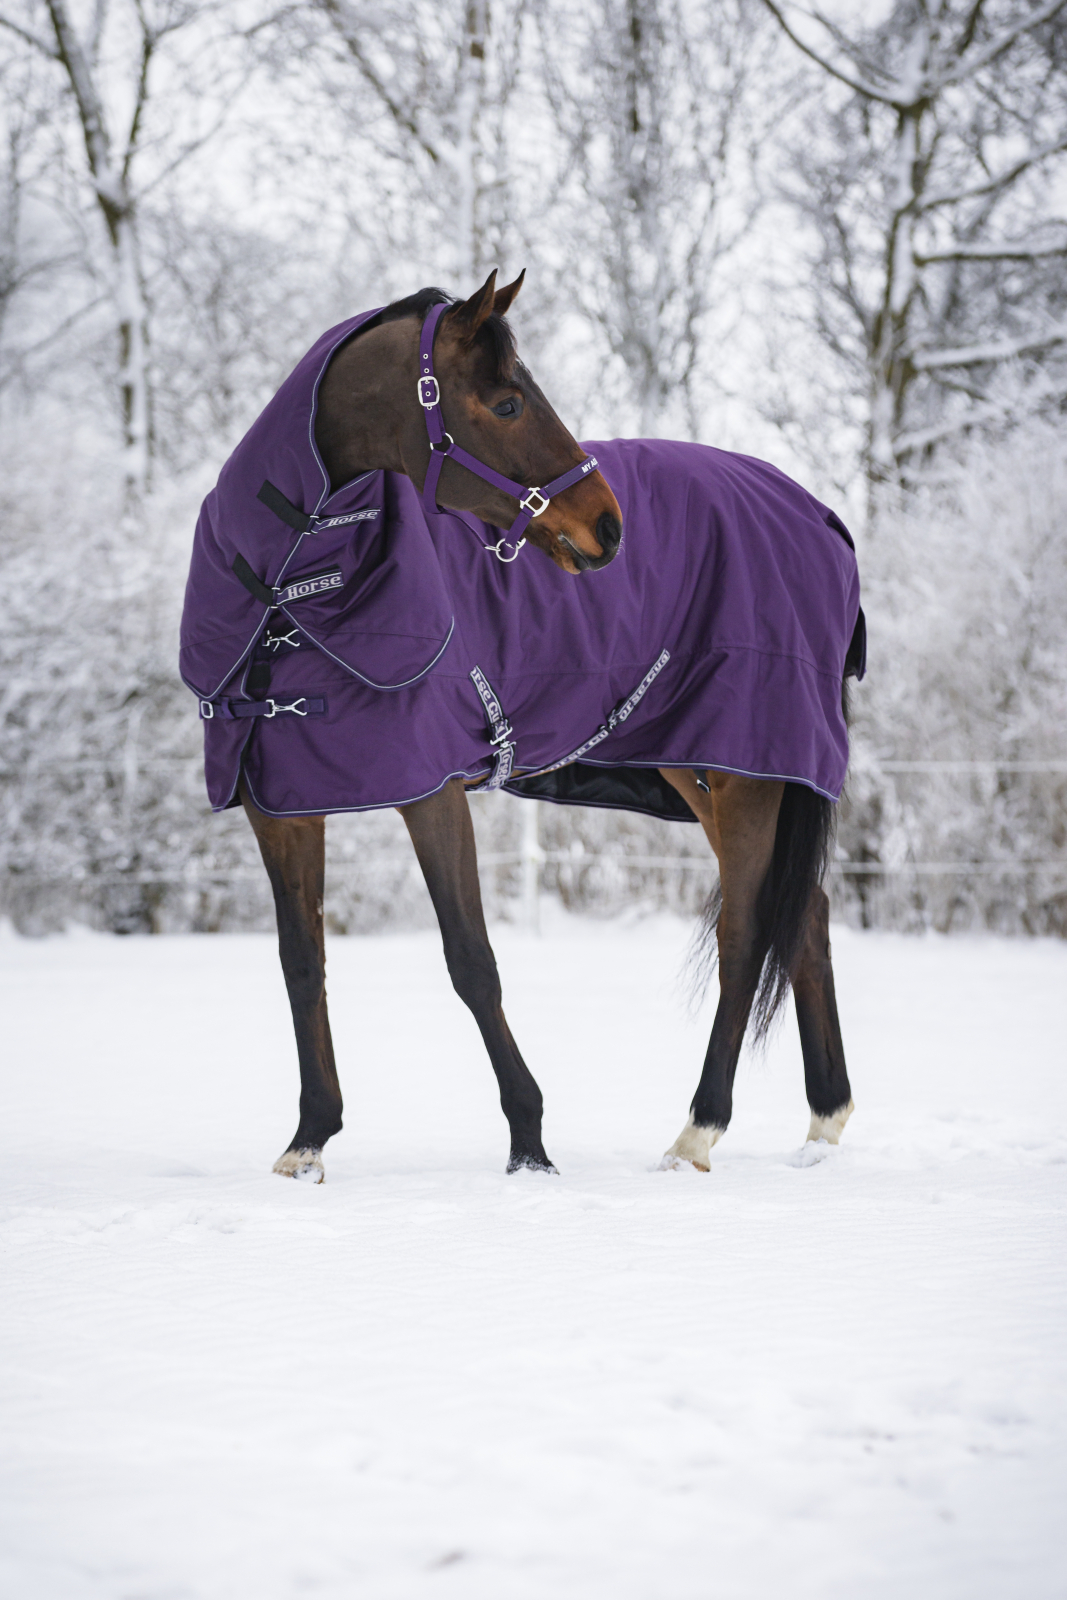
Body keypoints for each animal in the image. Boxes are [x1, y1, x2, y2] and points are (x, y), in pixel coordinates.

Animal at [180, 269, 862, 1182]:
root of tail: (817, 515)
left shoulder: (430, 791)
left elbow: (471, 961)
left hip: (743, 768)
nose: (608, 526)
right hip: (703, 769)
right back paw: (822, 1124)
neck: (288, 597)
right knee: (806, 919)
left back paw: (698, 1130)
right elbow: (302, 961)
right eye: (505, 403)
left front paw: (529, 1143)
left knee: (746, 930)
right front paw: (309, 1138)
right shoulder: (278, 805)